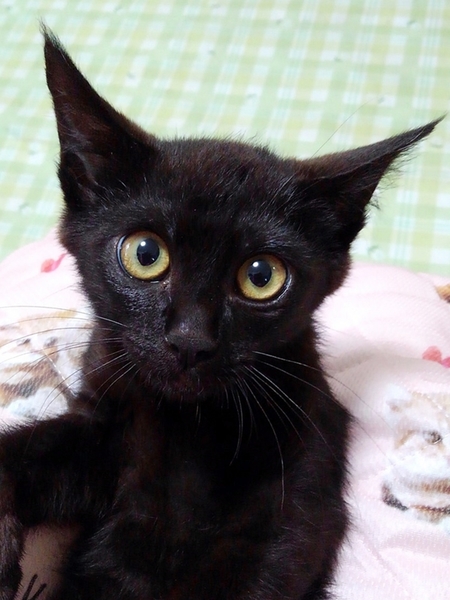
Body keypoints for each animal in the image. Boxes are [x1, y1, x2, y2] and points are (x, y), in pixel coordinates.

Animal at [0, 27, 439, 600]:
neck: (188, 426)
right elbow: (29, 450)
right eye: (145, 254)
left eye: (262, 276)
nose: (190, 339)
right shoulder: (101, 428)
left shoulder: (301, 492)